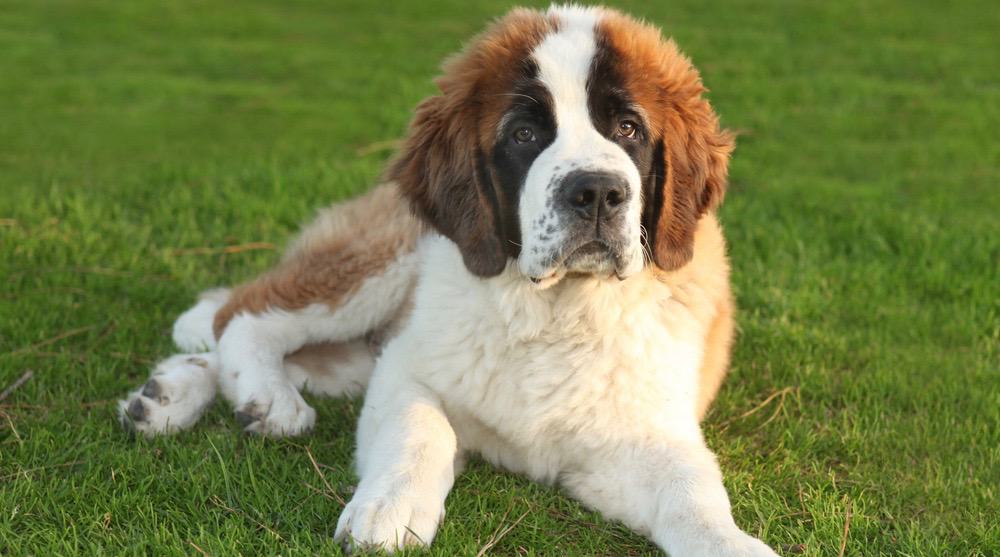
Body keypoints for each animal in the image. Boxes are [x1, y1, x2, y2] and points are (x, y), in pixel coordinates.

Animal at [121, 5, 780, 556]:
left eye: (628, 130)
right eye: (523, 135)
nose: (595, 192)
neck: (555, 308)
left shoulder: (643, 434)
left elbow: (691, 491)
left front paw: (732, 545)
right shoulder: (406, 366)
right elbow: (421, 429)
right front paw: (388, 508)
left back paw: (169, 393)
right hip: (383, 261)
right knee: (246, 313)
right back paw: (266, 397)